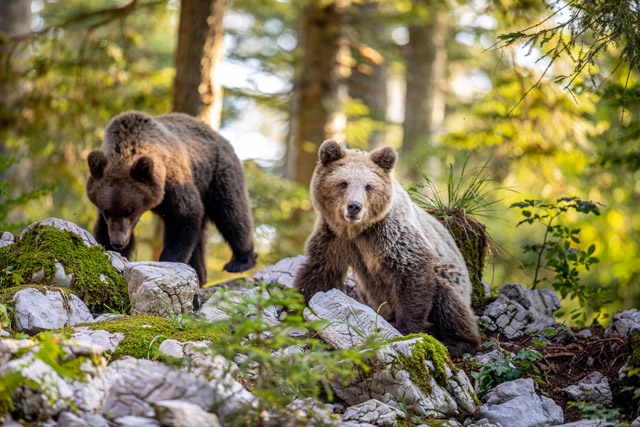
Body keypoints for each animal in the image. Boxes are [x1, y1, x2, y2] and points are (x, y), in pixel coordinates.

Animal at [86, 111, 257, 285]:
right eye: (107, 211)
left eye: (129, 211)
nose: (117, 242)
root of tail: (221, 138)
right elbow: (102, 227)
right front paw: (109, 250)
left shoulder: (174, 181)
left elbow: (183, 217)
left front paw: (169, 260)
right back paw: (200, 275)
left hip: (218, 174)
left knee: (232, 214)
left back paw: (240, 261)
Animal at [294, 140, 481, 357]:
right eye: (343, 183)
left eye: (368, 186)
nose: (354, 206)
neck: (358, 230)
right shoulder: (334, 238)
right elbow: (319, 271)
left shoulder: (390, 236)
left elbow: (412, 270)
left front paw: (407, 329)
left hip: (453, 276)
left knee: (449, 301)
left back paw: (459, 343)